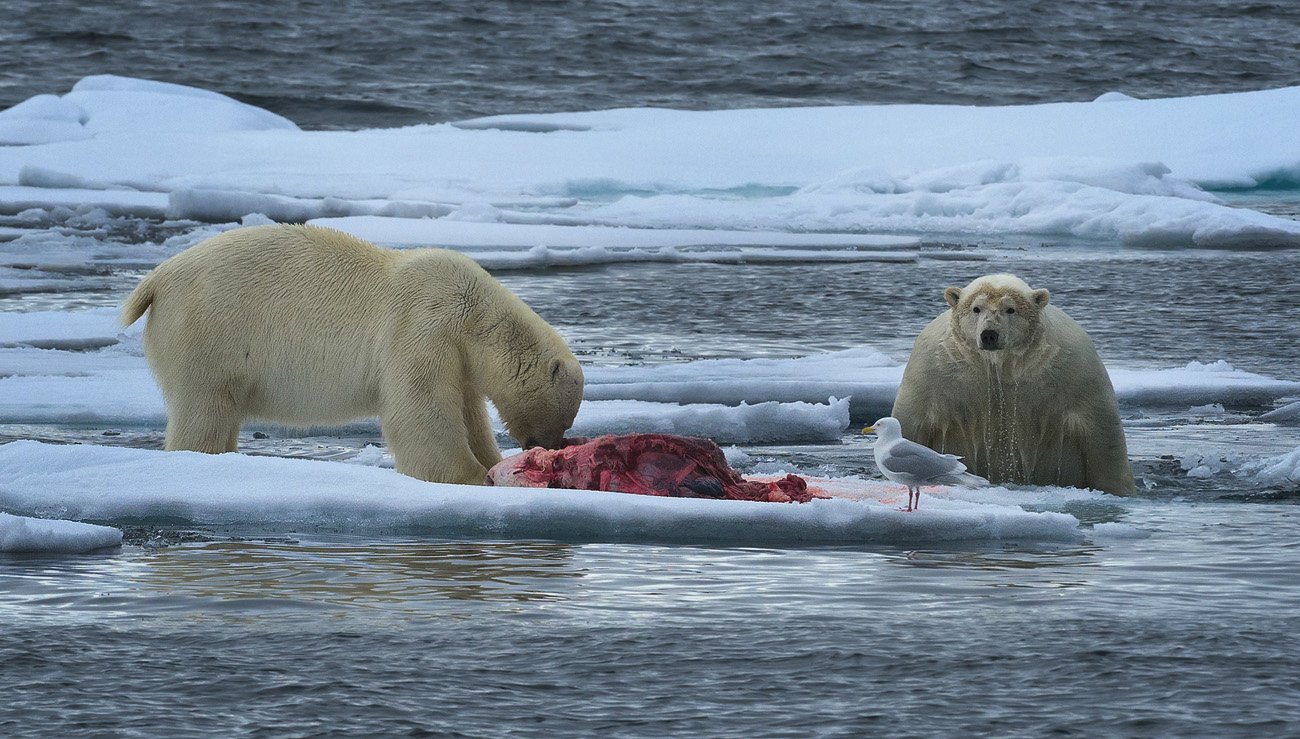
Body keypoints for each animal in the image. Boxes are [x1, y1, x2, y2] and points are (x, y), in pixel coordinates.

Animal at [116, 222, 585, 483]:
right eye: (563, 417)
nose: (550, 444)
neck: (472, 314)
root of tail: (158, 278)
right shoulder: (423, 327)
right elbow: (420, 410)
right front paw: (470, 476)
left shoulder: (459, 358)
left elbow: (469, 413)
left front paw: (491, 461)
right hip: (209, 332)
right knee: (205, 409)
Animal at [894, 273, 1138, 497]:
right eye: (976, 308)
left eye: (1010, 309)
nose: (989, 335)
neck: (999, 366)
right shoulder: (936, 371)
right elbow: (910, 421)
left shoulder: (1073, 369)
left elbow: (1103, 436)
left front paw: (1117, 490)